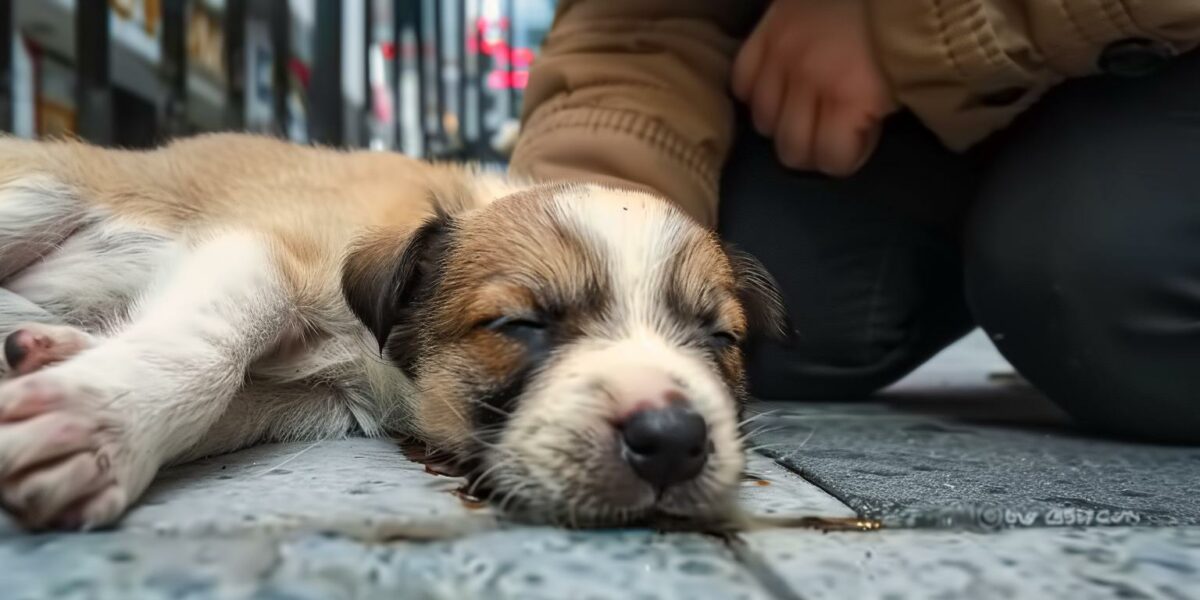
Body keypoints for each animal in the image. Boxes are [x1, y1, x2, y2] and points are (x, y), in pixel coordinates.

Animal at [0, 132, 787, 530]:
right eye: (519, 323)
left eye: (722, 340)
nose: (674, 441)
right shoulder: (266, 248)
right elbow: (210, 343)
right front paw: (99, 421)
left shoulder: (313, 402)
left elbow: (227, 406)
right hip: (35, 192)